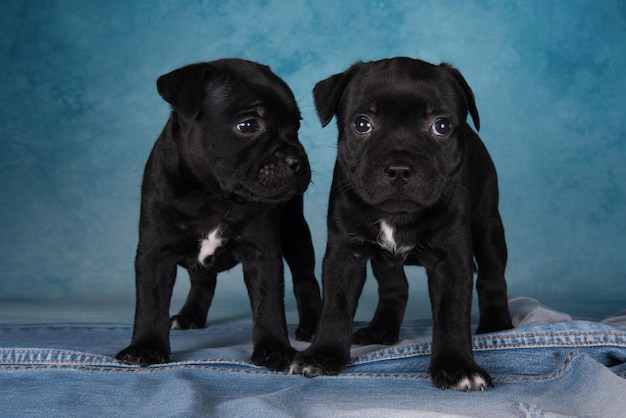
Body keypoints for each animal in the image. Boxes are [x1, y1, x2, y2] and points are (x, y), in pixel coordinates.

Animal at [116, 58, 322, 370]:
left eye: (296, 126)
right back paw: (190, 315)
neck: (213, 195)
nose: (296, 160)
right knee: (203, 280)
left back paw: (311, 325)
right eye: (248, 125)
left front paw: (273, 348)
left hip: (295, 231)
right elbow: (151, 303)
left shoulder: (263, 254)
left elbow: (268, 304)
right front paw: (146, 346)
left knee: (305, 278)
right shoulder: (155, 253)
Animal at [290, 57, 510, 390]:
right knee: (396, 287)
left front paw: (457, 366)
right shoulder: (344, 253)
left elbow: (451, 313)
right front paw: (322, 354)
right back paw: (381, 329)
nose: (399, 168)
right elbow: (336, 305)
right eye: (362, 124)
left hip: (488, 226)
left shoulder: (452, 259)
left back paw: (497, 325)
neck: (398, 215)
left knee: (492, 276)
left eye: (441, 126)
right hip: (386, 260)